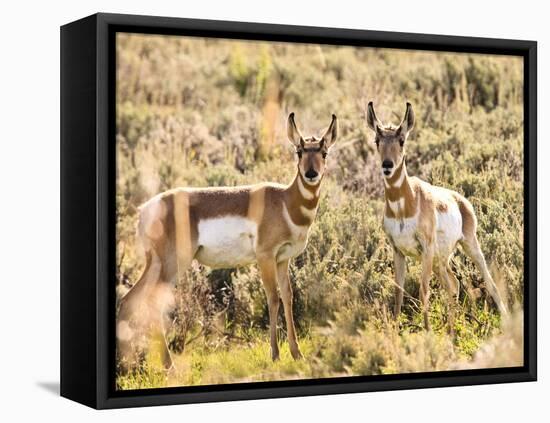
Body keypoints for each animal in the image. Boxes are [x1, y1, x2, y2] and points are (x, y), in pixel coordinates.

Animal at [118, 113, 338, 372]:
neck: (285, 201)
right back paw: (168, 365)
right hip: (173, 264)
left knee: (129, 300)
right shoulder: (265, 257)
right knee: (153, 302)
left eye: (323, 152)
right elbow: (272, 298)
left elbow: (287, 297)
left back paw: (127, 365)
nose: (311, 174)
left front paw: (297, 354)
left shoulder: (283, 259)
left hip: (156, 264)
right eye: (299, 151)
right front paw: (275, 354)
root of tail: (146, 209)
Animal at [366, 102, 508, 332]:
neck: (405, 205)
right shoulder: (398, 250)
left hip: (469, 246)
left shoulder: (426, 248)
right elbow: (398, 291)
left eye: (401, 139)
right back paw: (451, 329)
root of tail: (460, 200)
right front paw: (395, 330)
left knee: (489, 282)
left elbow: (424, 289)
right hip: (441, 260)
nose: (387, 164)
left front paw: (428, 331)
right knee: (453, 284)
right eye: (377, 140)